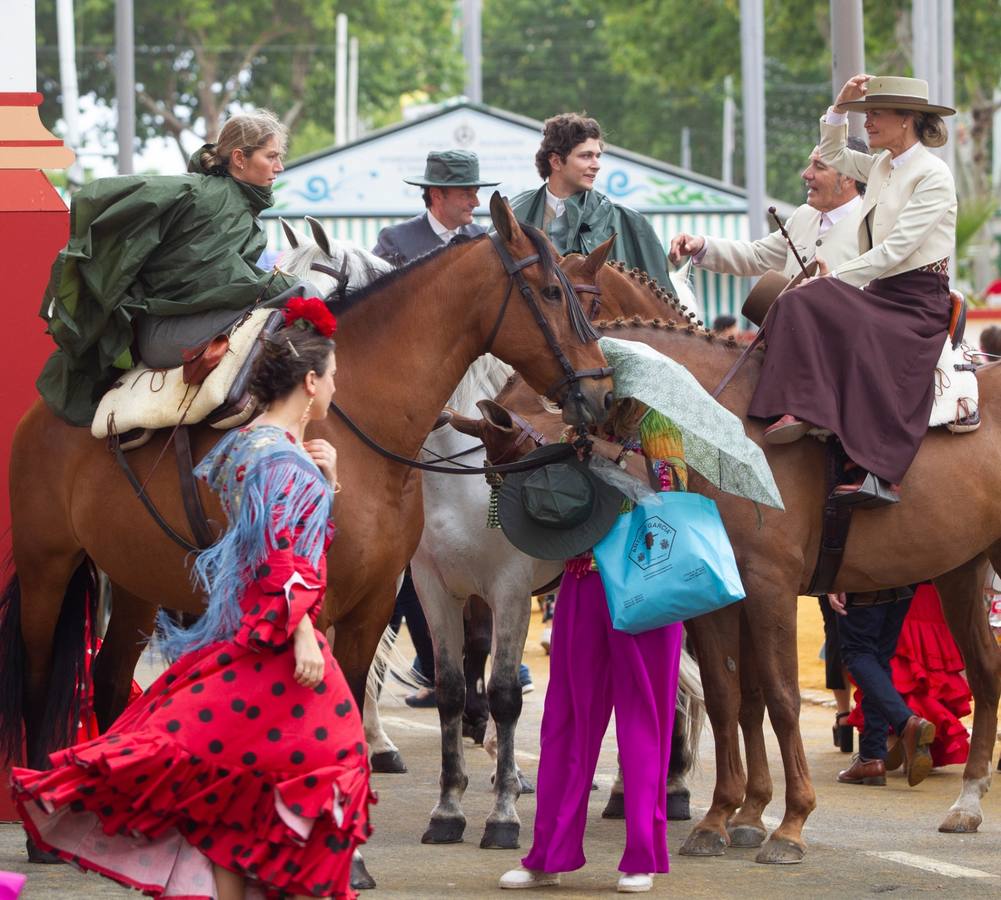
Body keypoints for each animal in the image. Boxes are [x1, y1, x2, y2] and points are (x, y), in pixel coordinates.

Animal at [0, 197, 612, 824]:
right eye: (551, 292)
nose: (602, 392)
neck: (361, 423)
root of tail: (45, 414)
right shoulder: (323, 598)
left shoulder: (378, 598)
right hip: (48, 567)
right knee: (38, 677)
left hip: (134, 578)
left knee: (110, 677)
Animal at [470, 298, 1001, 864]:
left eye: (524, 459)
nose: (506, 569)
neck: (725, 428)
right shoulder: (720, 598)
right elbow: (731, 697)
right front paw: (727, 816)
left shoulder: (770, 587)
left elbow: (781, 698)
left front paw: (790, 823)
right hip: (960, 568)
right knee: (985, 671)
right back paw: (968, 802)